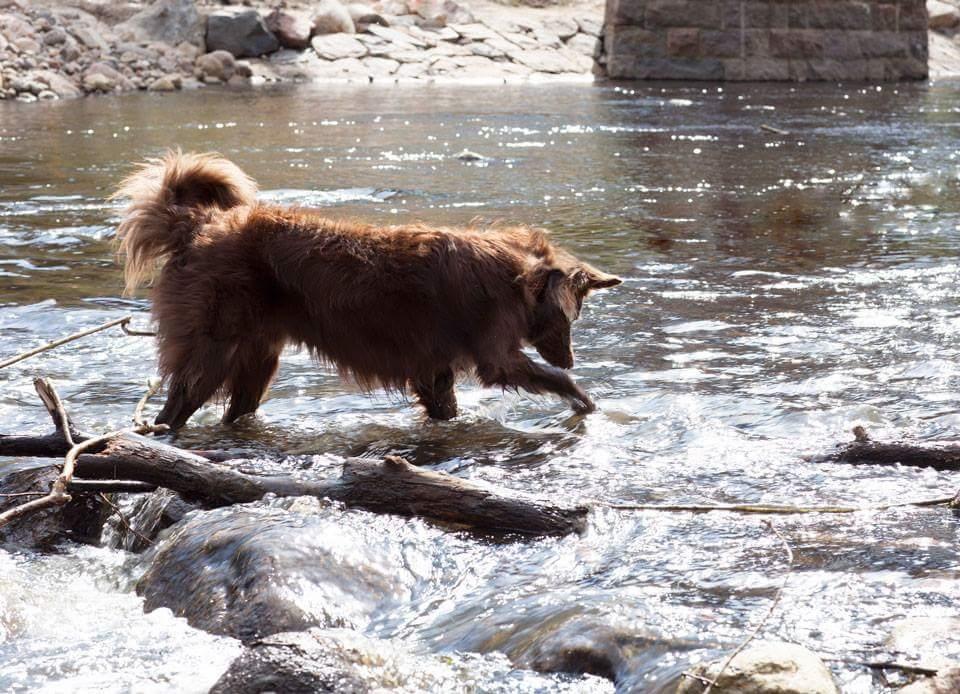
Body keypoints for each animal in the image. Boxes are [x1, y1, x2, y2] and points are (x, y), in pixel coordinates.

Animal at [114, 152, 624, 430]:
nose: (570, 358)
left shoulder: (434, 371)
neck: (517, 275)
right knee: (175, 406)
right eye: (570, 317)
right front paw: (584, 399)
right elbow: (552, 381)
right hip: (213, 347)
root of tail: (199, 225)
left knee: (234, 410)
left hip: (257, 358)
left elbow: (445, 408)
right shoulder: (496, 358)